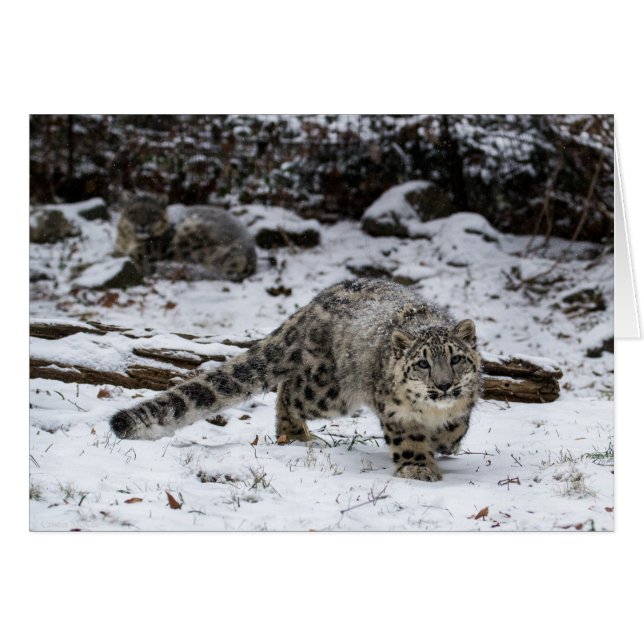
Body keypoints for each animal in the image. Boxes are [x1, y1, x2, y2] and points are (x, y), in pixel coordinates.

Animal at [109, 278, 481, 482]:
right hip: (330, 391)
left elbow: (457, 427)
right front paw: (418, 468)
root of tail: (315, 302)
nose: (444, 385)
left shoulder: (463, 403)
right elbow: (408, 439)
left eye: (456, 359)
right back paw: (296, 434)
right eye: (422, 363)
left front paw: (445, 441)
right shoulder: (395, 411)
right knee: (288, 392)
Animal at [115, 193, 257, 282]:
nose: (142, 225)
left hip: (189, 235)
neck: (128, 241)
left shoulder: (144, 253)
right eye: (132, 212)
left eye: (152, 213)